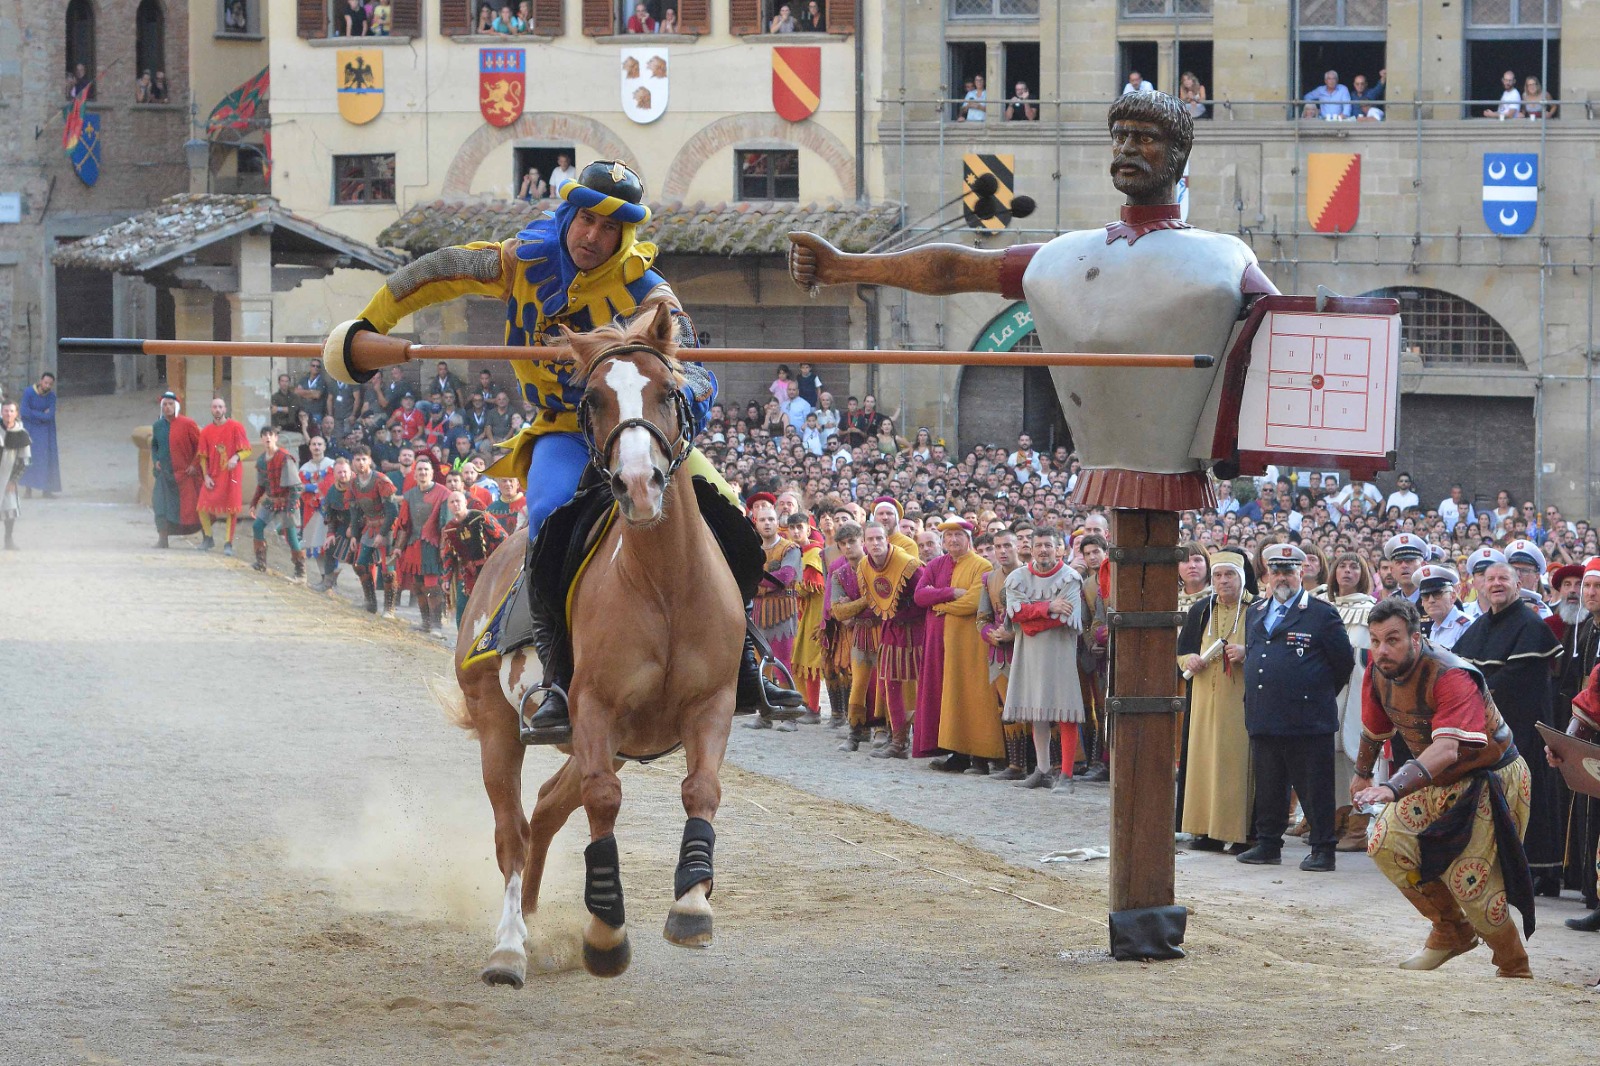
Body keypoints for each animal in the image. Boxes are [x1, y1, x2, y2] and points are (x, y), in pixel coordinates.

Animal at [444, 302, 742, 985]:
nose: (638, 483)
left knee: (547, 811)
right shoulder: (594, 706)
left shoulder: (711, 701)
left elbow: (701, 790)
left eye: (666, 392)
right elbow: (605, 800)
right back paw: (509, 945)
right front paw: (606, 931)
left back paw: (530, 915)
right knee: (513, 832)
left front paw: (692, 905)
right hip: (500, 724)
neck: (664, 585)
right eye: (596, 400)